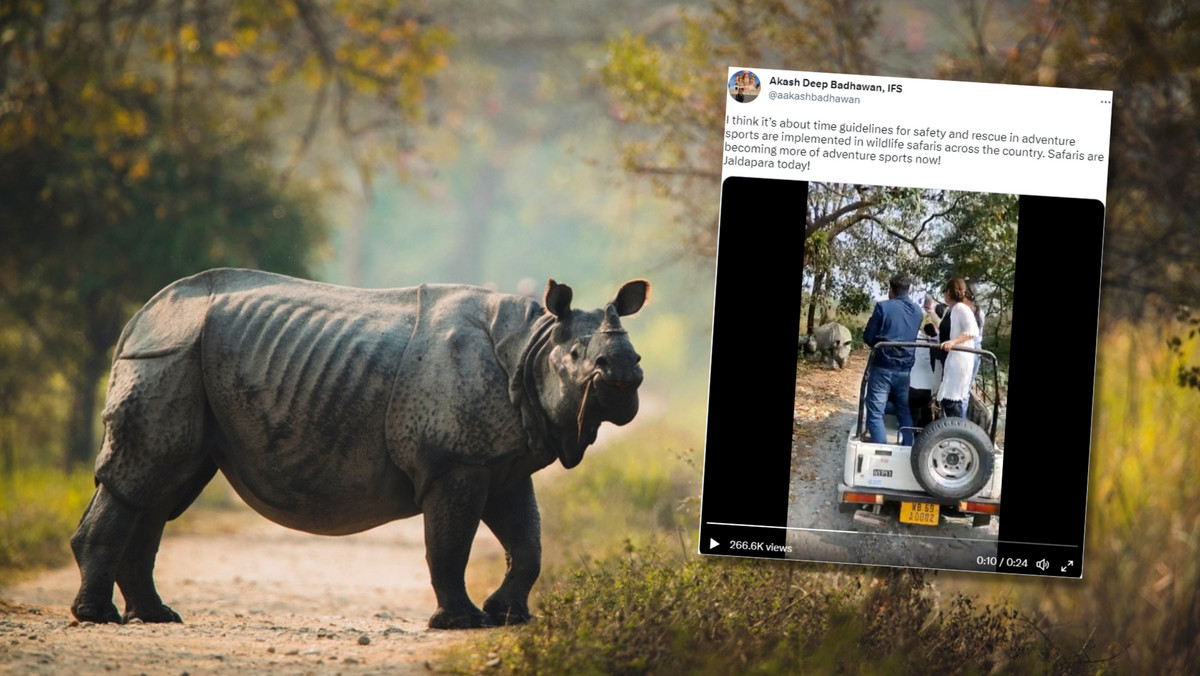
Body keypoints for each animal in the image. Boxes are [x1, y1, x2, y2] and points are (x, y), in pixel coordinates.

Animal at [70, 268, 652, 629]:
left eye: (636, 354)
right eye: (577, 357)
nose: (624, 373)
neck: (534, 343)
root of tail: (138, 319)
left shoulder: (502, 460)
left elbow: (527, 544)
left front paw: (507, 617)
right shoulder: (455, 459)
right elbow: (449, 544)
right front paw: (460, 623)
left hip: (184, 357)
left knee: (166, 486)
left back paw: (155, 616)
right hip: (168, 354)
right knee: (147, 476)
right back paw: (99, 618)